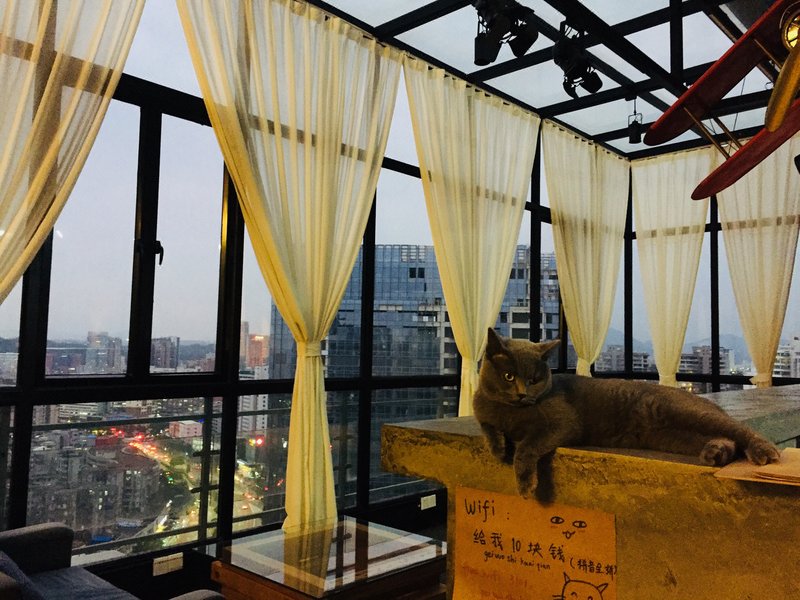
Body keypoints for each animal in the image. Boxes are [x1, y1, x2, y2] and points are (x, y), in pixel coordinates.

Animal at [473, 328, 781, 498]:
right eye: (509, 376)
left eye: (535, 379)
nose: (523, 393)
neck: (510, 413)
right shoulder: (483, 409)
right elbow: (486, 425)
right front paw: (497, 447)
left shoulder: (560, 423)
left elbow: (527, 446)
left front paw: (525, 483)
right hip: (674, 436)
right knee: (723, 438)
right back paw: (716, 453)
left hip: (686, 412)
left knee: (739, 429)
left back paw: (764, 451)